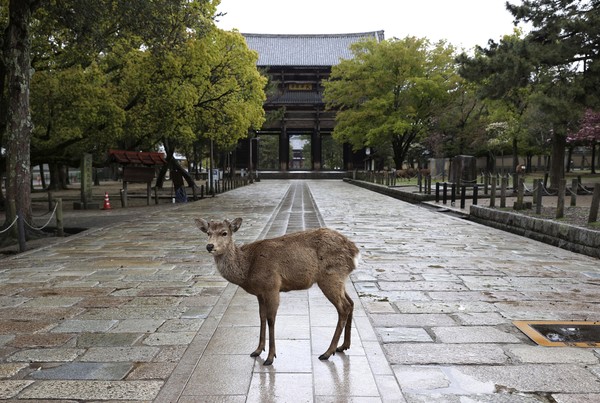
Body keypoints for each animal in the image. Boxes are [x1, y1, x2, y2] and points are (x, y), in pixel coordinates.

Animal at [195, 218, 358, 366]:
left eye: (224, 233)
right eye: (208, 233)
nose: (209, 246)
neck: (248, 268)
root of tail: (355, 252)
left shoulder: (272, 286)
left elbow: (271, 319)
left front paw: (270, 357)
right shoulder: (260, 293)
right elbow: (261, 317)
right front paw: (257, 350)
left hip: (330, 276)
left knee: (343, 307)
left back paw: (327, 352)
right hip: (340, 279)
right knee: (351, 303)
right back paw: (343, 346)